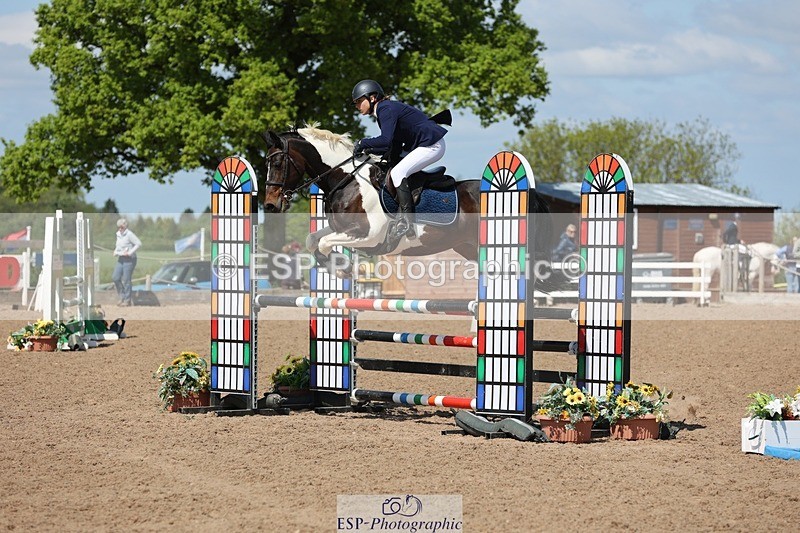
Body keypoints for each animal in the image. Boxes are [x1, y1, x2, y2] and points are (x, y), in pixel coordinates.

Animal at [260, 125, 554, 277]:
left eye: (278, 163)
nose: (270, 205)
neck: (348, 180)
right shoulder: (341, 229)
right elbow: (313, 240)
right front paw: (336, 266)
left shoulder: (369, 236)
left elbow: (323, 242)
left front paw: (341, 268)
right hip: (470, 248)